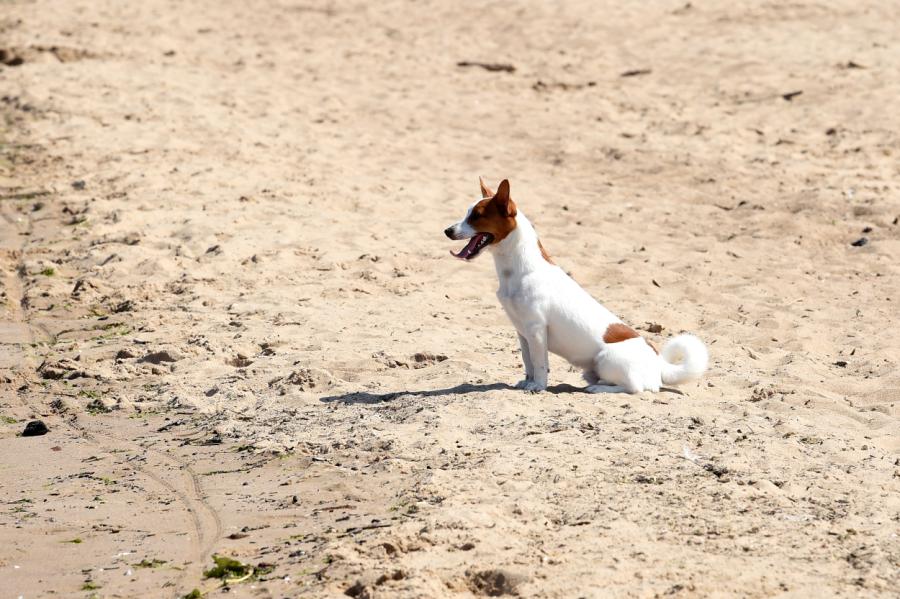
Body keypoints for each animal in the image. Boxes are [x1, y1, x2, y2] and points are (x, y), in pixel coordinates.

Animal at [444, 178, 712, 394]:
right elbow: (528, 361)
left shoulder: (536, 330)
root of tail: (659, 364)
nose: (447, 230)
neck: (520, 269)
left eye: (476, 216)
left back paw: (598, 389)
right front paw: (527, 382)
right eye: (467, 213)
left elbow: (540, 363)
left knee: (637, 388)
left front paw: (537, 386)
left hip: (606, 359)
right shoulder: (522, 332)